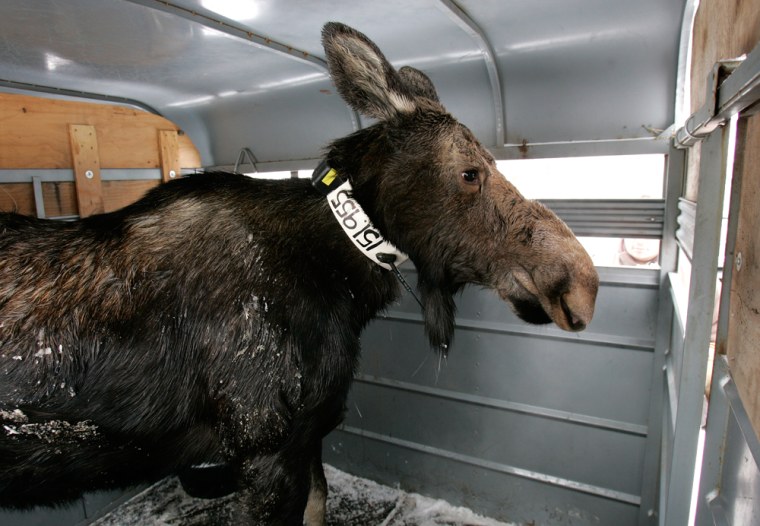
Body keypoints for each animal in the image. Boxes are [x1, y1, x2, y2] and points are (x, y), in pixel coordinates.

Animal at [1, 21, 600, 526]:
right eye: (471, 172)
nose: (582, 286)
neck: (343, 286)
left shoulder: (308, 433)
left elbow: (319, 504)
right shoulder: (263, 442)